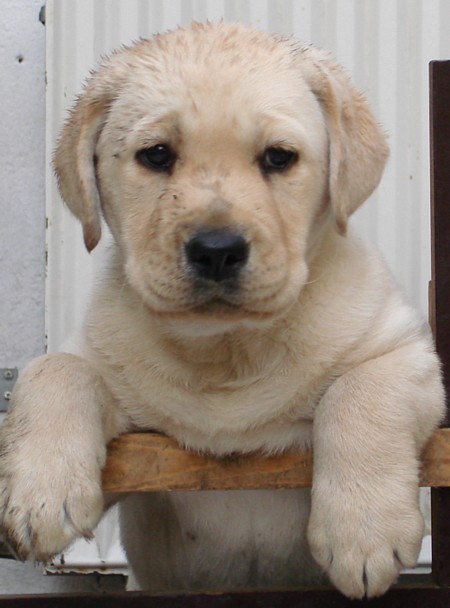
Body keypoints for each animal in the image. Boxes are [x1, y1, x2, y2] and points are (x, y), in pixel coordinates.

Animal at [0, 22, 442, 600]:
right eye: (157, 155)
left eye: (278, 157)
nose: (216, 250)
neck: (227, 350)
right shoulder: (141, 451)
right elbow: (53, 368)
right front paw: (40, 496)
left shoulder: (408, 353)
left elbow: (359, 390)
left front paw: (363, 531)